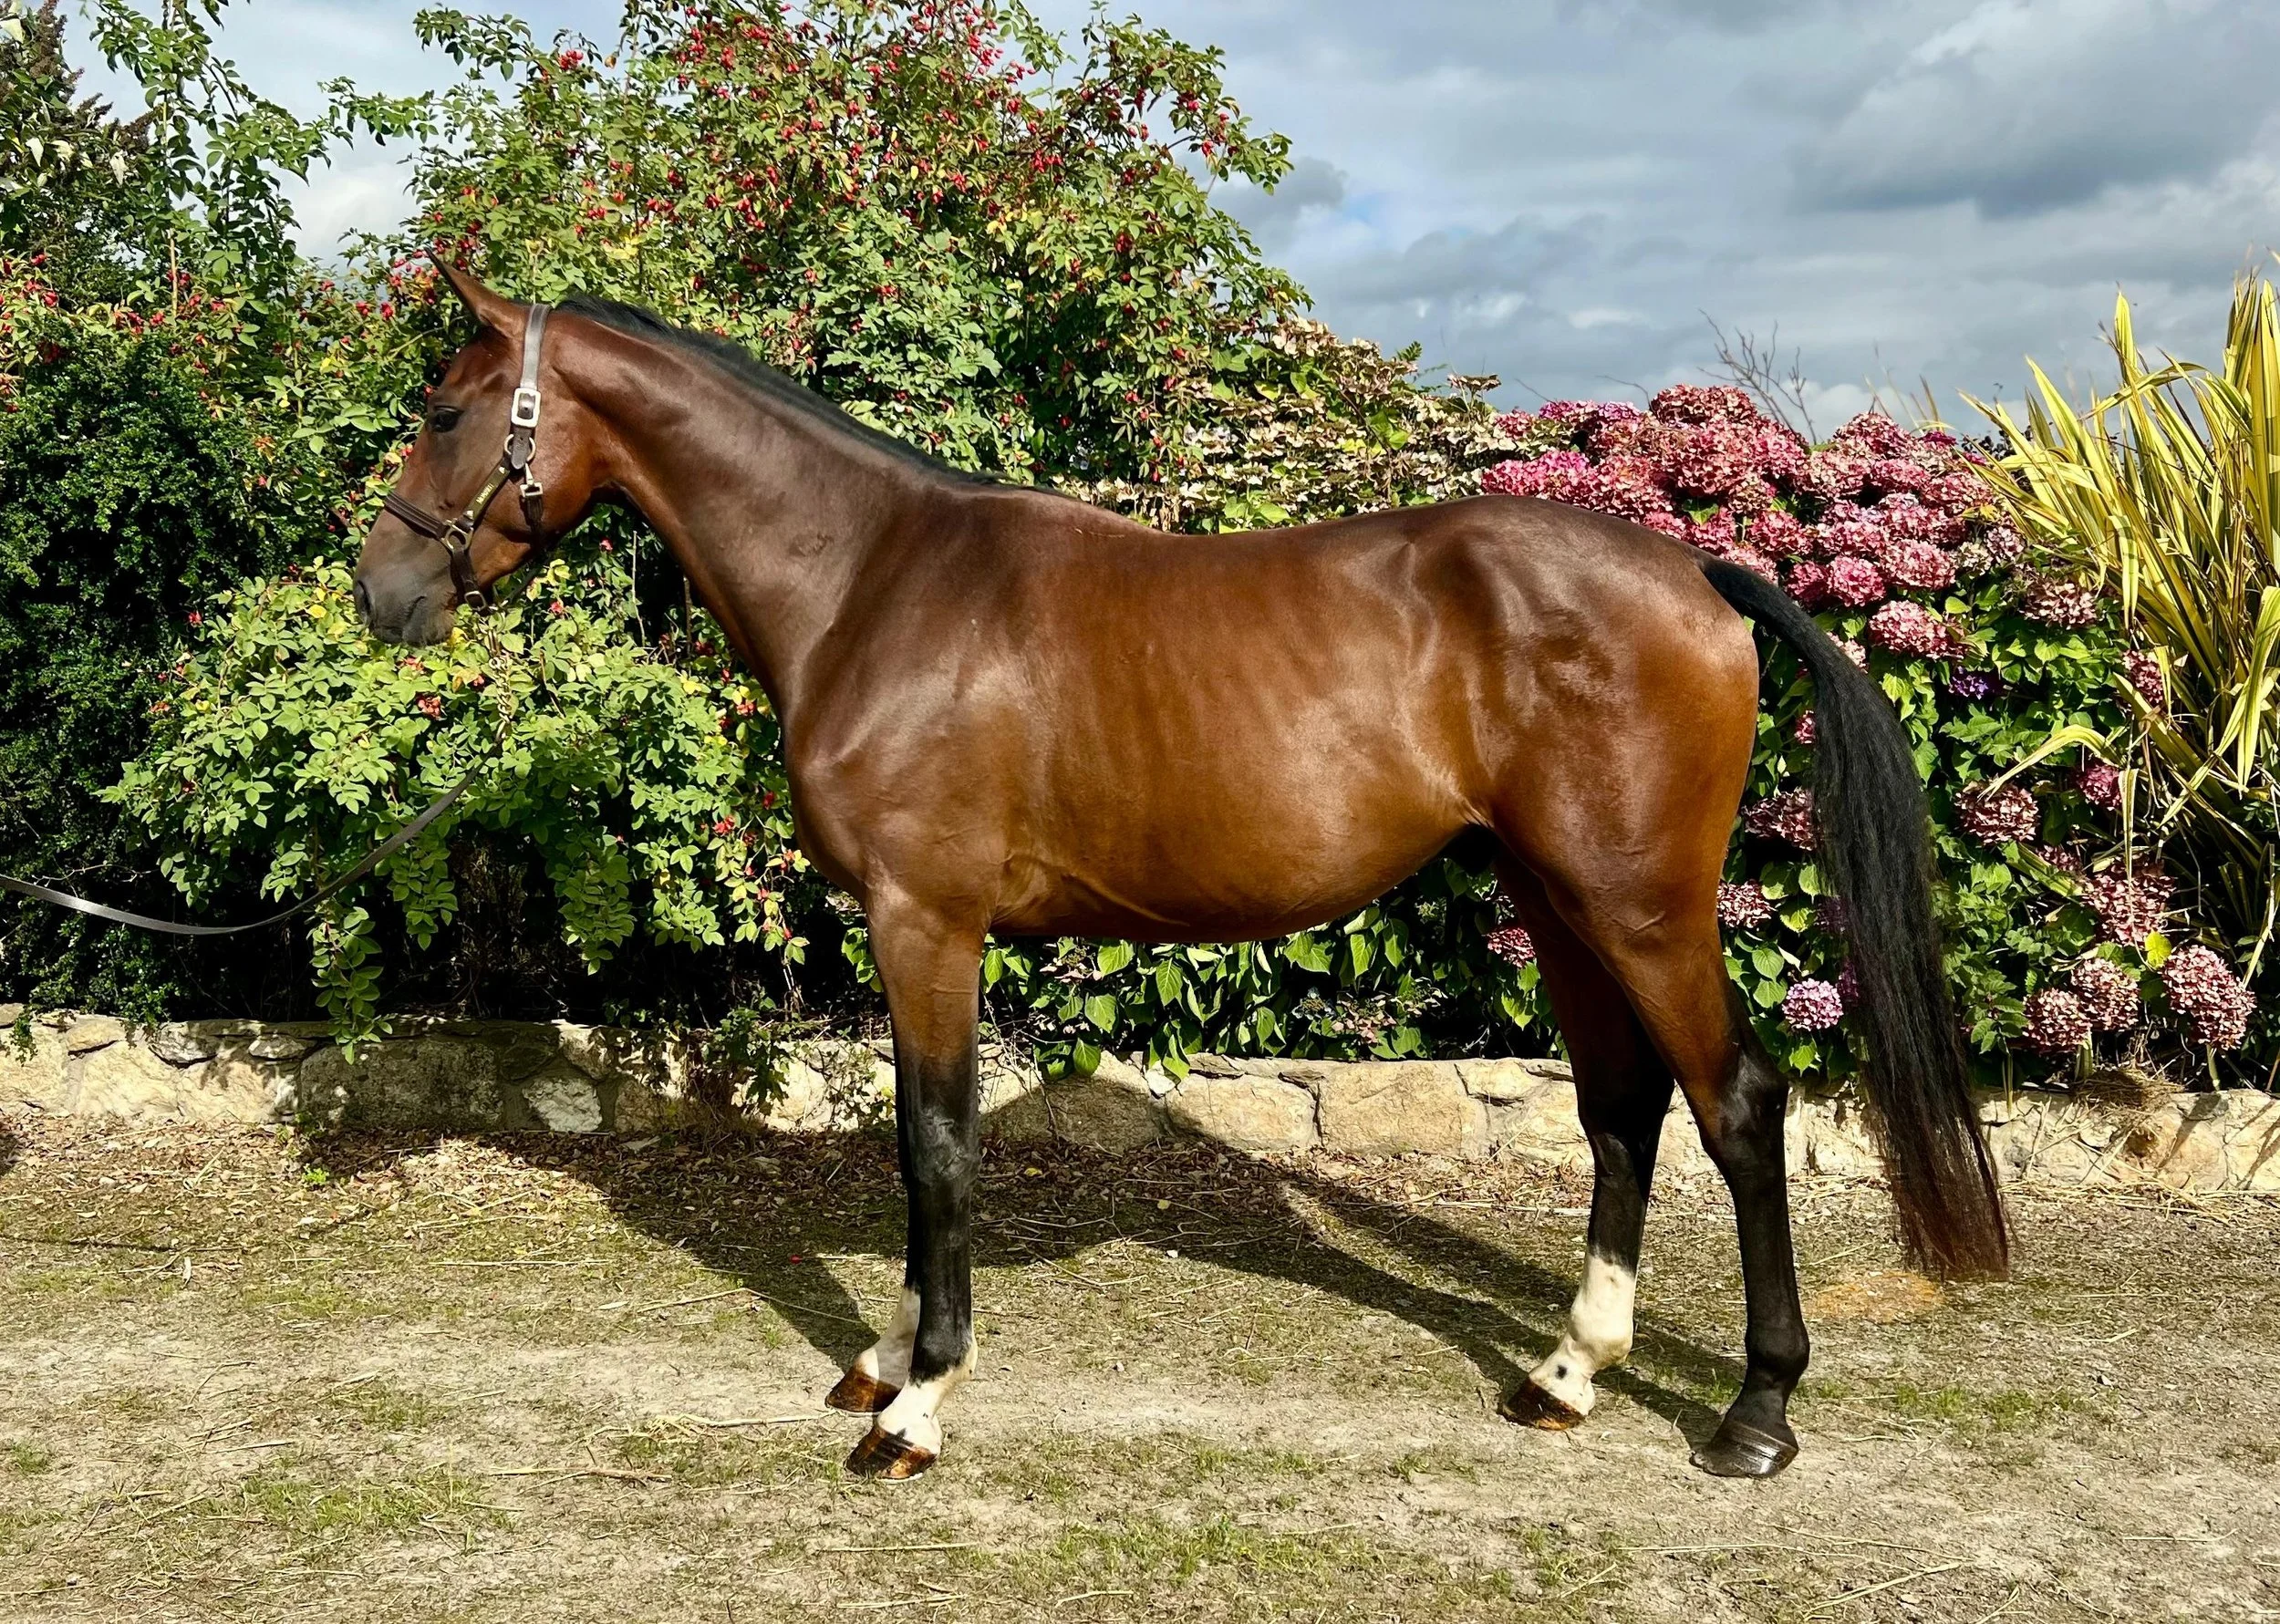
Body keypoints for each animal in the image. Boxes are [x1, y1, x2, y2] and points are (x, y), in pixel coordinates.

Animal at [353, 261, 2007, 1482]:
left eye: (442, 408)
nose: (381, 590)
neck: (872, 581)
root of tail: (1701, 575)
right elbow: (917, 1147)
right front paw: (886, 1360)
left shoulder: (925, 920)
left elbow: (934, 1143)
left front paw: (917, 1401)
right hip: (1560, 902)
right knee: (1620, 1113)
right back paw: (1565, 1373)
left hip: (1643, 905)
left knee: (1739, 1107)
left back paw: (1755, 1416)